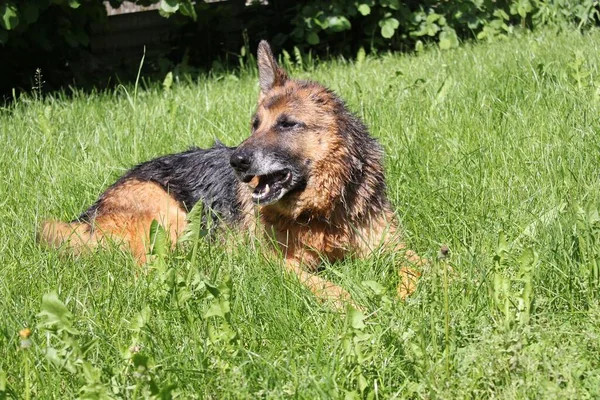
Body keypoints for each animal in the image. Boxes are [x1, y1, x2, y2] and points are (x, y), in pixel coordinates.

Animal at [39, 41, 422, 310]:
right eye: (255, 124)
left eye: (287, 124)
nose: (237, 160)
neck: (321, 211)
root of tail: (90, 213)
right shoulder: (278, 264)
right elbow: (322, 285)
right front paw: (350, 302)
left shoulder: (394, 247)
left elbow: (424, 266)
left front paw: (412, 296)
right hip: (172, 218)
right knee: (148, 271)